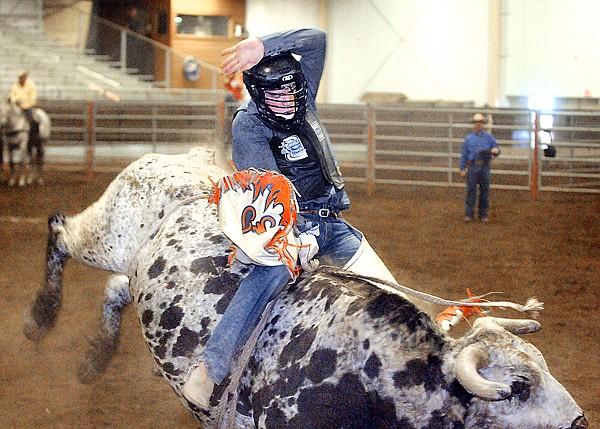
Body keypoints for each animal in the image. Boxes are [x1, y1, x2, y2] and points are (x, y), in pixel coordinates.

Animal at [22, 148, 584, 428]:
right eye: (520, 386)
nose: (580, 420)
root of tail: (179, 160)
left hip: (133, 266)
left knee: (117, 289)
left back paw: (94, 358)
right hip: (109, 233)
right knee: (59, 229)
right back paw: (40, 318)